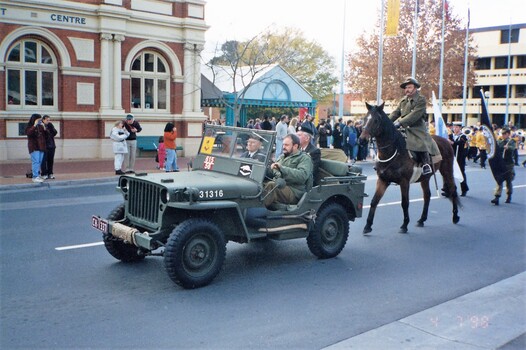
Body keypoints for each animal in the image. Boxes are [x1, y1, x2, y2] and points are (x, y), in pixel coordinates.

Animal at [360, 102, 460, 234]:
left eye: (376, 120)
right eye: (365, 119)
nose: (362, 140)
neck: (395, 150)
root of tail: (447, 140)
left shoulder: (404, 182)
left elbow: (405, 203)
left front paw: (404, 225)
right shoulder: (383, 180)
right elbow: (374, 201)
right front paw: (367, 226)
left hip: (447, 171)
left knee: (453, 190)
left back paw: (455, 216)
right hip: (425, 178)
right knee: (427, 195)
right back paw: (422, 219)